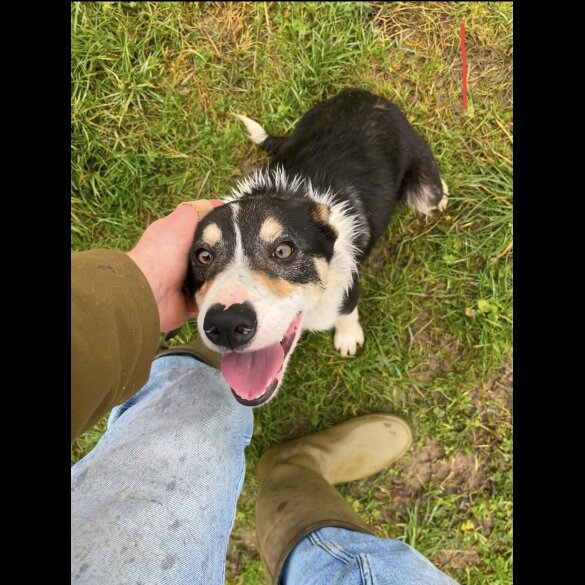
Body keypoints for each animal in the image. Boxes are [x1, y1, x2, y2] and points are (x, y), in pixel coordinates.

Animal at [185, 88, 444, 406]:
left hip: (423, 188)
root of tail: (365, 94)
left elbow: (347, 311)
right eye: (203, 256)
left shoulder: (347, 286)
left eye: (284, 250)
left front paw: (348, 337)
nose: (224, 325)